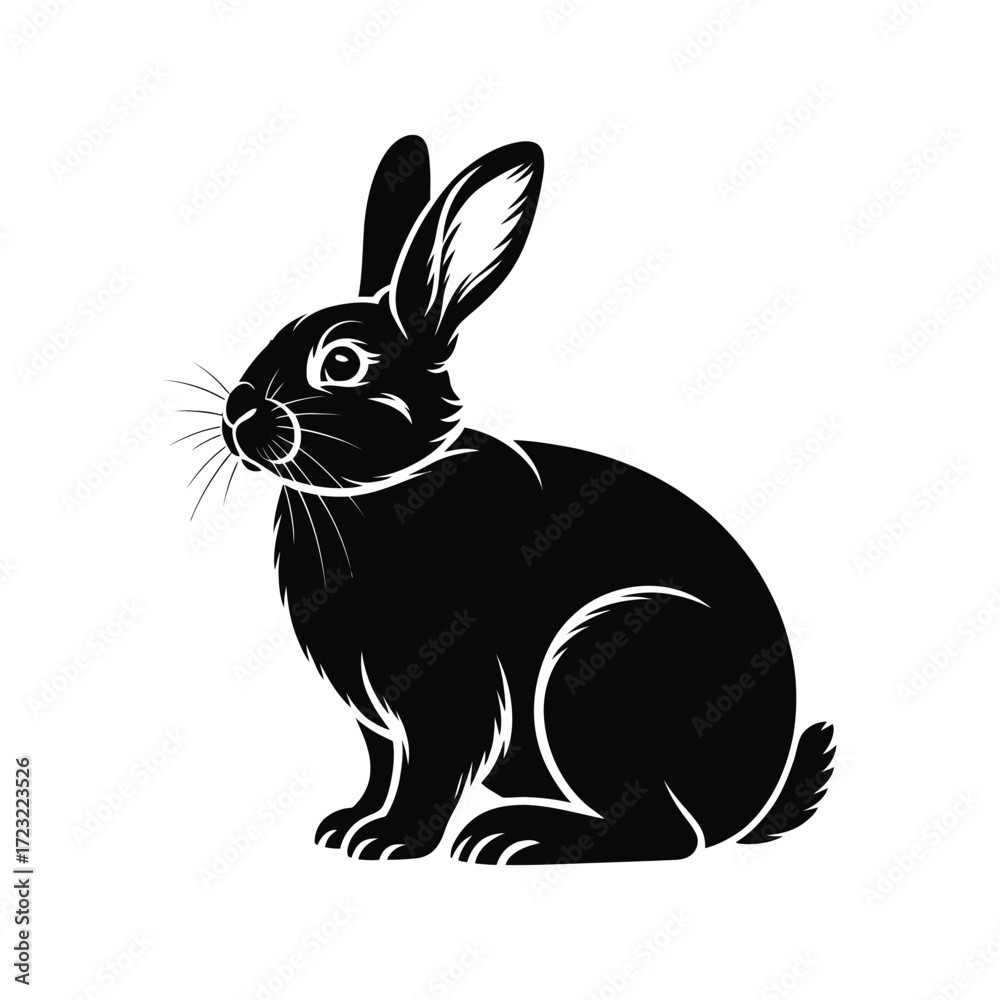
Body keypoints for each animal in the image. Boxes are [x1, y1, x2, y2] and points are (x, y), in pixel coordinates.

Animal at [214, 135, 834, 863]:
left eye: (340, 364)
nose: (237, 413)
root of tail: (753, 799)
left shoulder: (449, 689)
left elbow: (430, 770)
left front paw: (391, 842)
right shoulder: (377, 717)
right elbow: (381, 768)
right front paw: (347, 826)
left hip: (600, 671)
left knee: (668, 831)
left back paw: (517, 838)